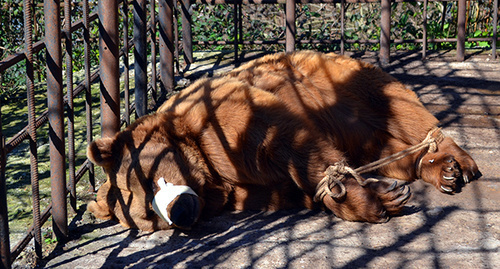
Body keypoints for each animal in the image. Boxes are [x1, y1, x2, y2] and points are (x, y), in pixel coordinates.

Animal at [88, 50, 478, 230]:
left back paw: (450, 161)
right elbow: (286, 189)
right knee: (381, 147)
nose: (181, 213)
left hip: (344, 84)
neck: (209, 173)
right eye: (148, 217)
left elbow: (291, 146)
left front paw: (367, 199)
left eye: (151, 178)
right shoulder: (243, 189)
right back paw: (432, 168)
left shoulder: (226, 120)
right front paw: (383, 195)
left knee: (403, 112)